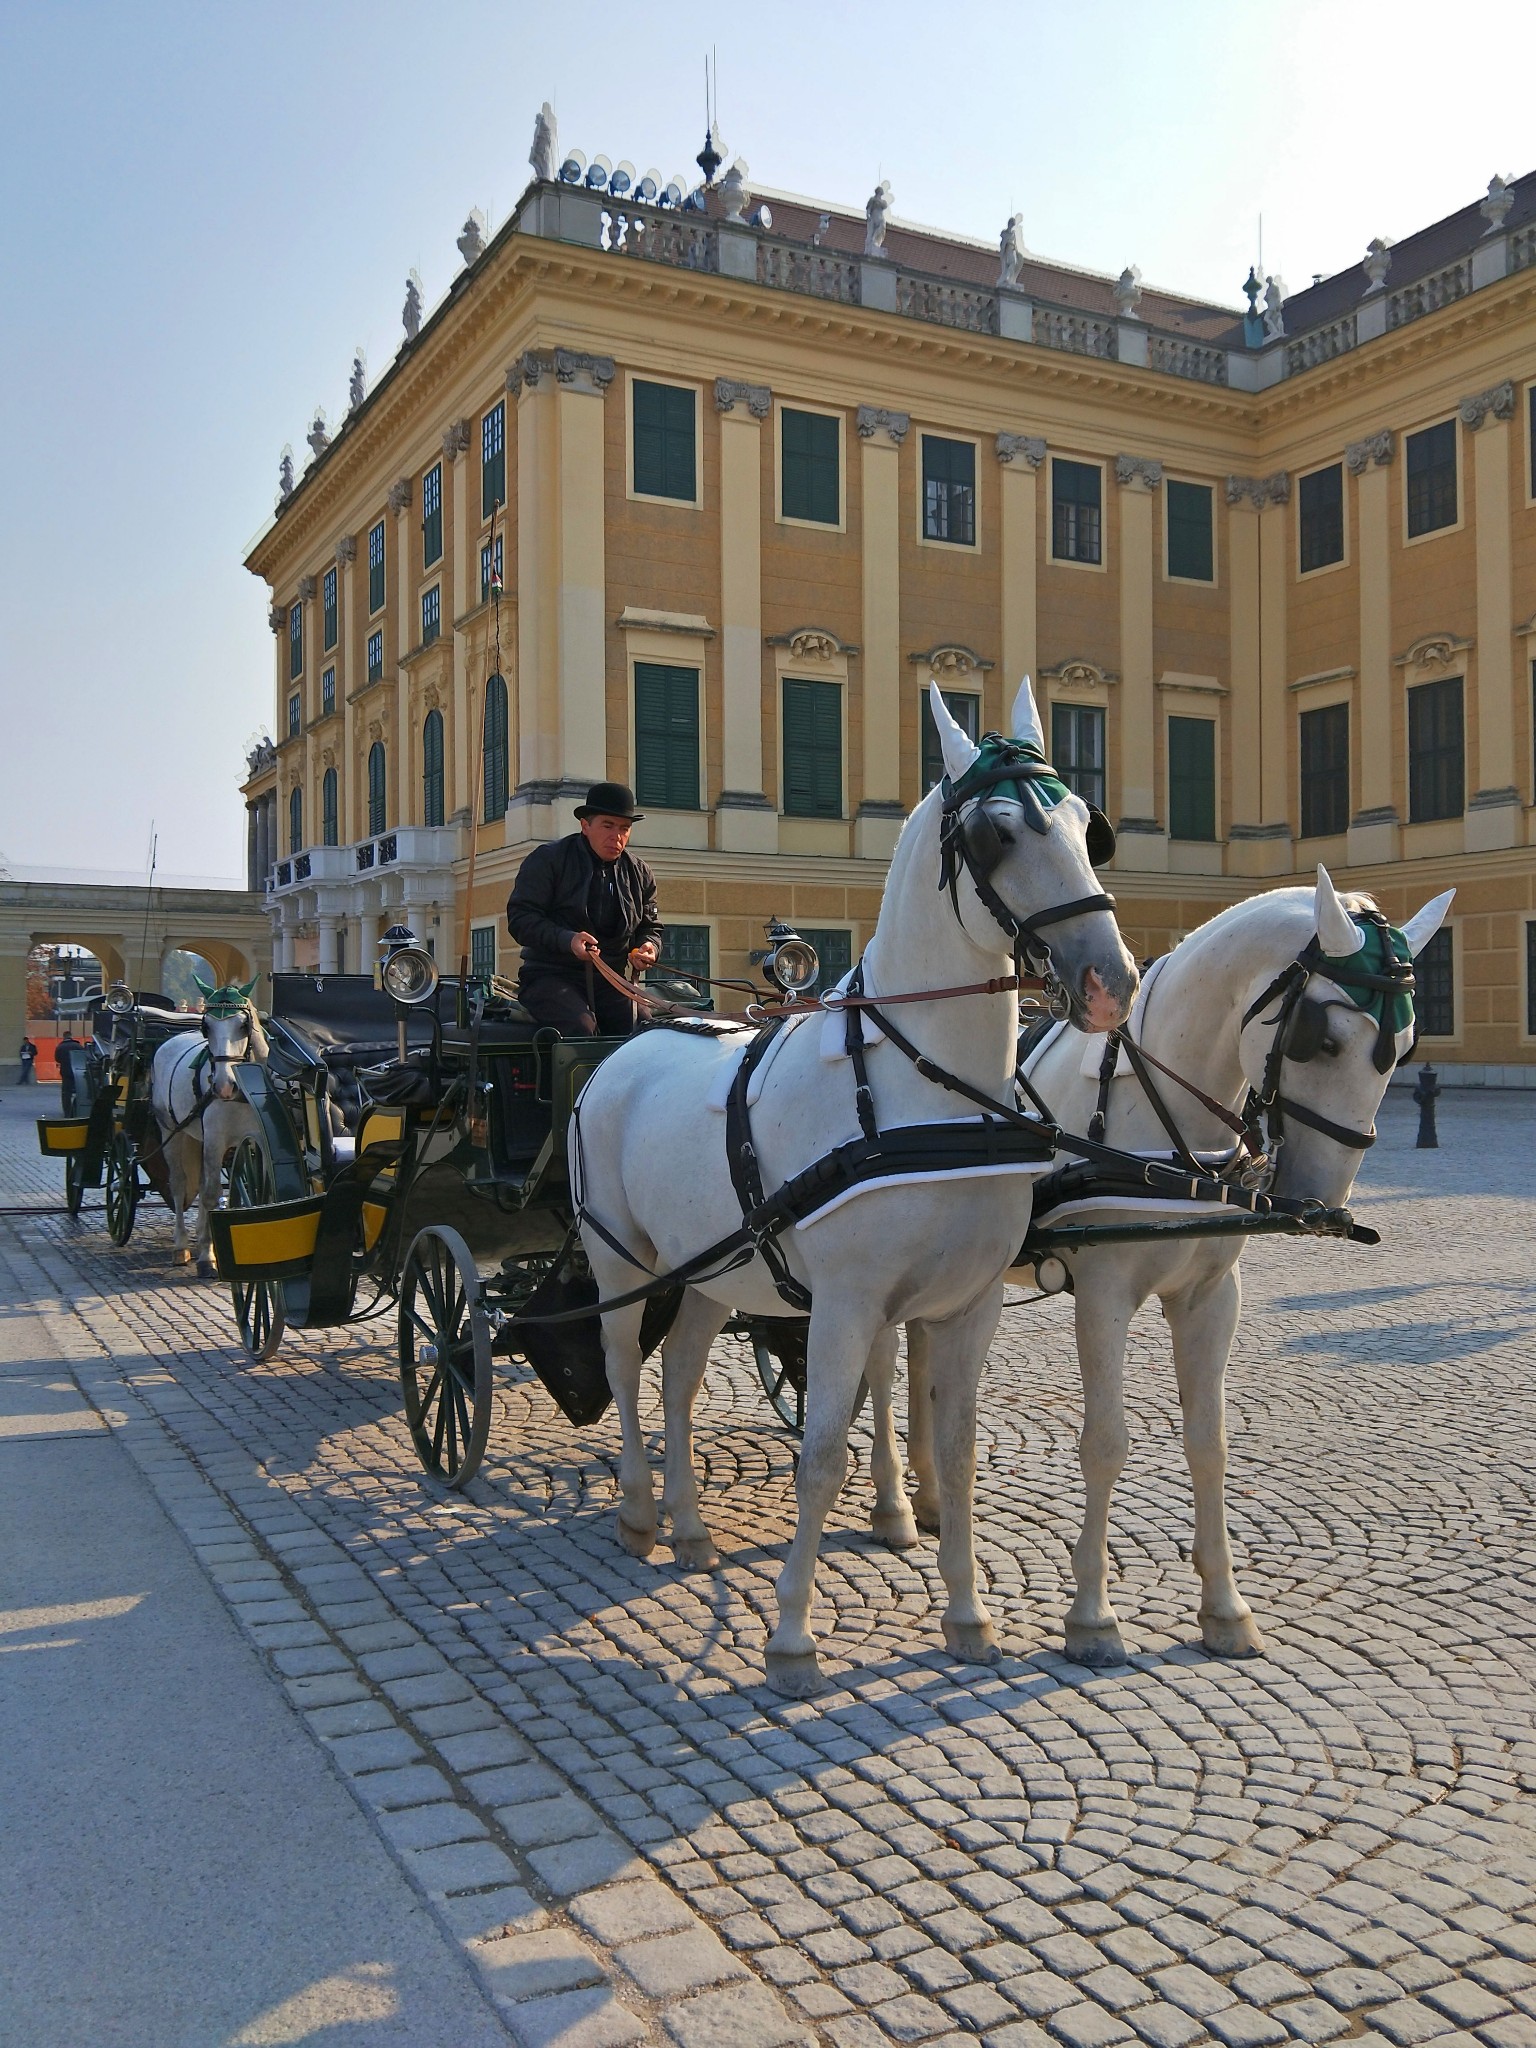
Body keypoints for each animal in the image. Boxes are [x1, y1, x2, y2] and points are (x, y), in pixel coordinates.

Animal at [150, 978, 268, 1277]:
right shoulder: (215, 1139)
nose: (224, 1086)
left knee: (202, 1185)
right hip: (172, 1131)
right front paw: (206, 1257)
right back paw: (181, 1245)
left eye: (244, 1025)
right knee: (180, 1185)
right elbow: (213, 1195)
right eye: (207, 1027)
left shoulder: (258, 1141)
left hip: (199, 1139)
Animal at [577, 679, 1146, 1687]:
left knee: (679, 1376)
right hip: (623, 1263)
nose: (1109, 981)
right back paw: (641, 1510)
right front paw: (792, 1635)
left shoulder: (966, 1305)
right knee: (619, 1360)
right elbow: (820, 1460)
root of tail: (629, 1046)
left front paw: (966, 1614)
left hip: (710, 1272)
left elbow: (952, 1452)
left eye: (1090, 824)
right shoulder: (845, 1305)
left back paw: (688, 1524)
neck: (929, 1095)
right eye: (998, 834)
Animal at [909, 864, 1458, 1662]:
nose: (1321, 1207)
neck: (1169, 1129)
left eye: (1407, 1047)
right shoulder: (1101, 1294)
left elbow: (1209, 1442)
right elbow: (1106, 1444)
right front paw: (1092, 1616)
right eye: (1319, 1039)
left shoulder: (1211, 1297)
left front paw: (1224, 1607)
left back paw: (920, 1499)